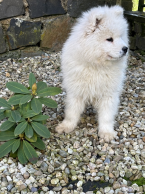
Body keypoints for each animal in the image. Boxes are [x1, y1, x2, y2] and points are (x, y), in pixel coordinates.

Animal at [55, 4, 129, 141]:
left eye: (121, 37)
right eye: (109, 39)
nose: (125, 48)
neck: (97, 66)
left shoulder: (109, 93)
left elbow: (106, 115)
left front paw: (106, 132)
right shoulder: (76, 90)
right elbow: (72, 112)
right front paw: (66, 126)